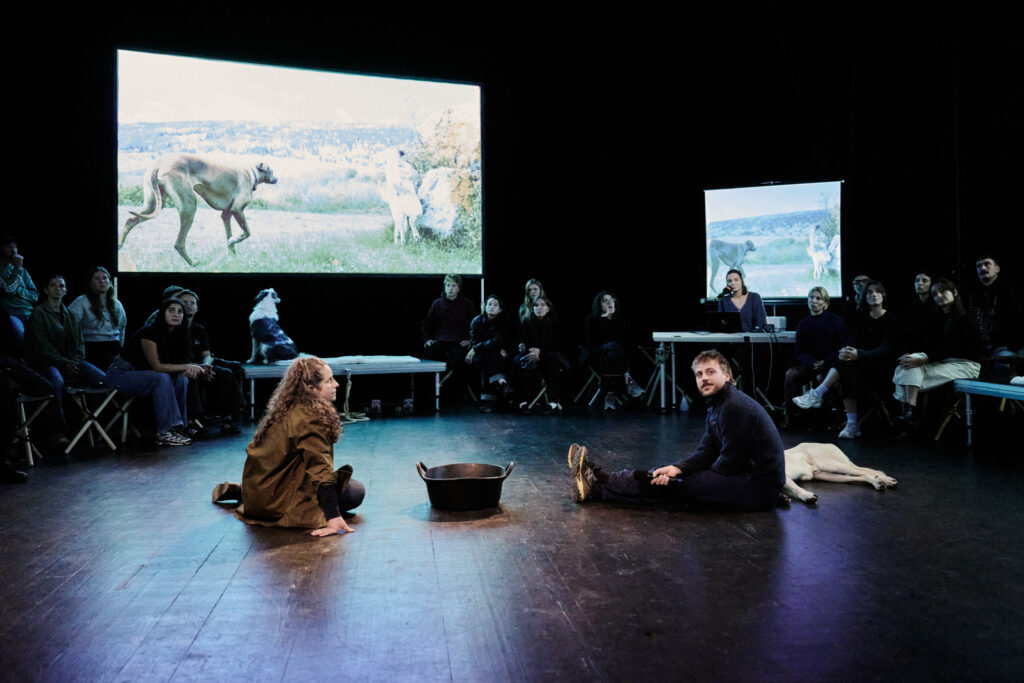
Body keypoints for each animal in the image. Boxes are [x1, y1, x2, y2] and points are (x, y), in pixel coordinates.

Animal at [119, 154, 278, 267]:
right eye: (271, 170)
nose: (276, 179)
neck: (251, 175)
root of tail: (159, 164)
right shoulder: (237, 210)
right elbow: (247, 232)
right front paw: (235, 241)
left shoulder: (226, 214)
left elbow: (229, 237)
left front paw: (233, 256)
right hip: (189, 207)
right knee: (179, 244)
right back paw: (193, 263)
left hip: (152, 204)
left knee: (130, 220)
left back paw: (120, 245)